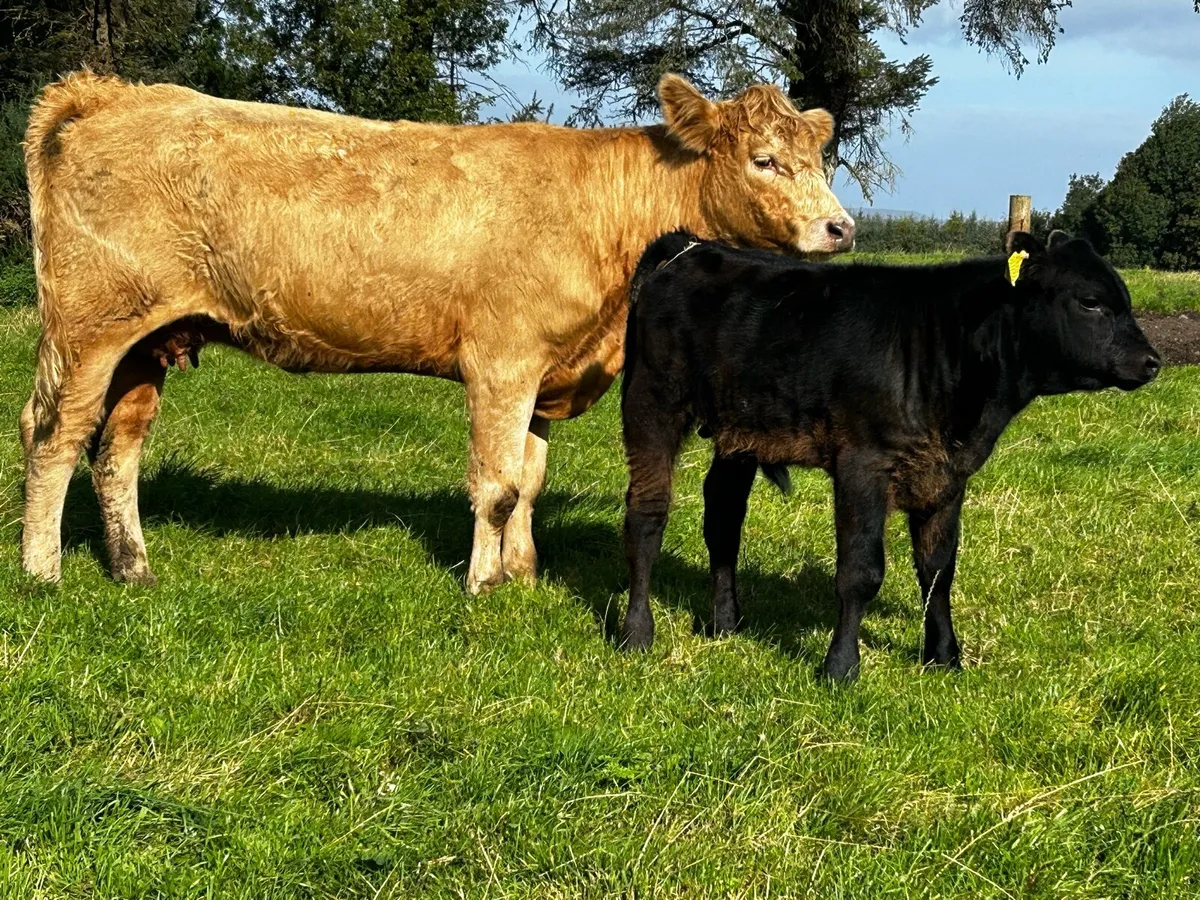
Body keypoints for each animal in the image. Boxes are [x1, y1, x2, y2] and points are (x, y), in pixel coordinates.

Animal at [20, 71, 855, 591]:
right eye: (764, 159)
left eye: (820, 157)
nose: (840, 228)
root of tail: (111, 94)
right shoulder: (503, 363)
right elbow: (497, 484)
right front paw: (484, 584)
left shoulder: (546, 371)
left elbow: (530, 479)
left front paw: (524, 575)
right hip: (88, 327)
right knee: (55, 435)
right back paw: (41, 571)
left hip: (146, 340)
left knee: (117, 451)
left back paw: (133, 569)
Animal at [620, 230, 1160, 680]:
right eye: (1090, 301)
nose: (1152, 361)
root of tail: (692, 246)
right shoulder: (863, 464)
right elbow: (860, 572)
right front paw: (840, 667)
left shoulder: (948, 474)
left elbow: (938, 570)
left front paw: (944, 656)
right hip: (651, 402)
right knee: (647, 517)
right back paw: (635, 632)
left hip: (739, 432)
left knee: (723, 521)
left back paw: (725, 623)